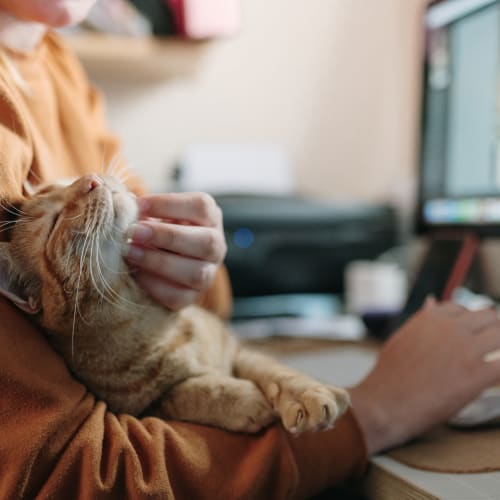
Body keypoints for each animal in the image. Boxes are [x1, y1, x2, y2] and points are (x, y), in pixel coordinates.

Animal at [0, 176, 350, 434]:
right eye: (55, 220)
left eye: (68, 180)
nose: (92, 179)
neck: (147, 320)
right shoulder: (141, 408)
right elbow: (190, 392)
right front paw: (245, 399)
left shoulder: (236, 348)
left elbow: (276, 370)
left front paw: (310, 394)